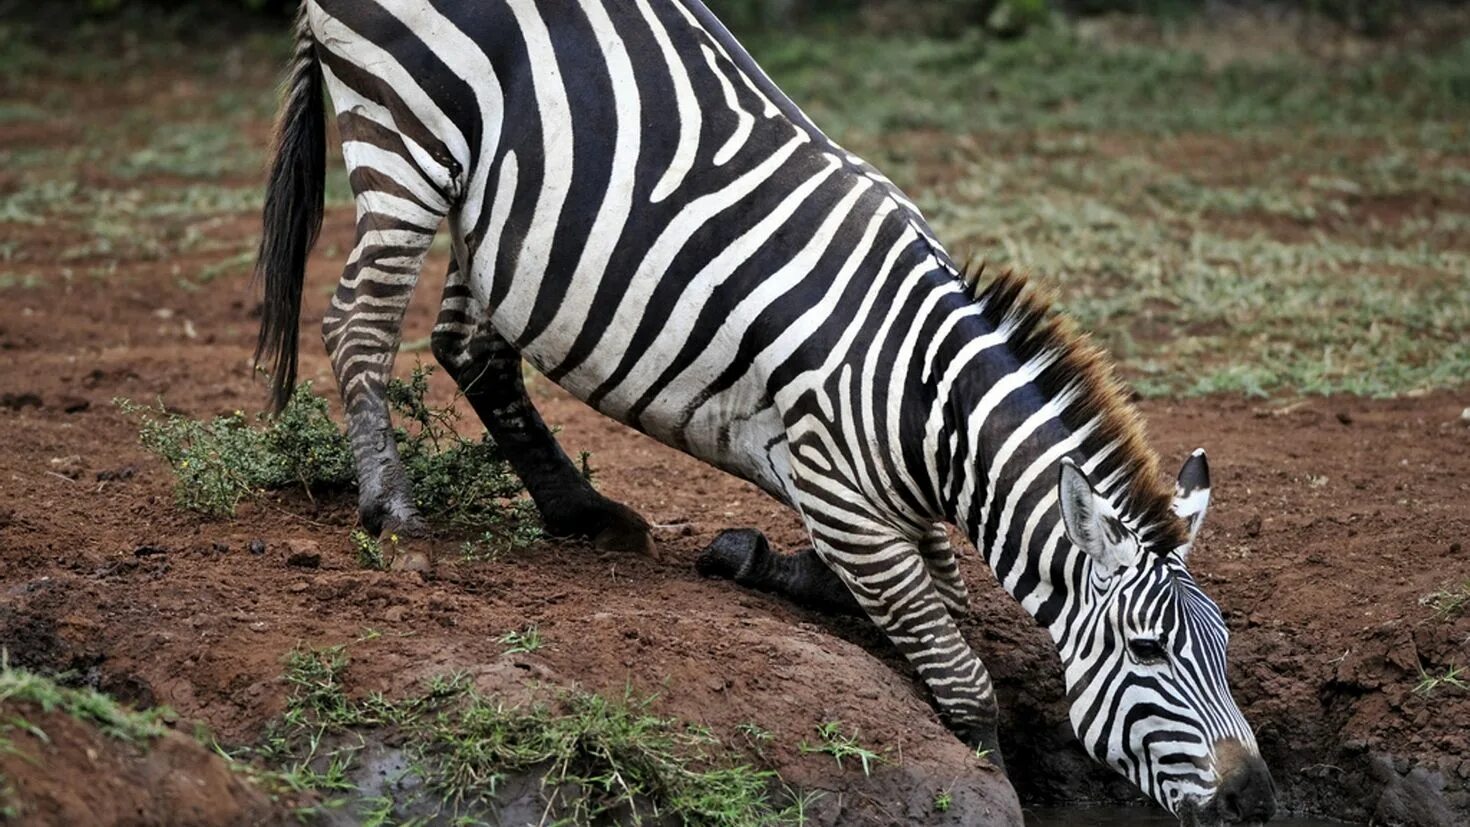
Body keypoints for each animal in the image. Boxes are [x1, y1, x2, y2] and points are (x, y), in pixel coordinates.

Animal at [255, 0, 1275, 822]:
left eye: (1226, 649)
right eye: (1147, 651)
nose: (1257, 801)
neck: (926, 401)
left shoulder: (882, 506)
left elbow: (932, 598)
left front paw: (751, 557)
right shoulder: (840, 491)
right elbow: (961, 674)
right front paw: (991, 771)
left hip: (491, 204)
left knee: (470, 344)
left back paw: (582, 510)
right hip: (405, 136)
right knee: (357, 320)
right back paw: (391, 509)